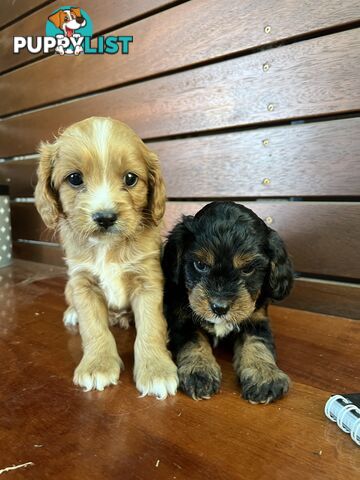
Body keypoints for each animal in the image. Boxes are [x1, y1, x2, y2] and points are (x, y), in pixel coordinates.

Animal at [35, 116, 179, 398]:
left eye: (131, 178)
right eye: (75, 178)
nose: (105, 217)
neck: (107, 247)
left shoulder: (148, 281)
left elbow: (151, 327)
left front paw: (156, 369)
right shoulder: (82, 283)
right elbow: (93, 328)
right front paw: (97, 365)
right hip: (70, 286)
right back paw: (74, 313)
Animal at [162, 201, 294, 404]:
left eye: (247, 269)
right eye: (200, 265)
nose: (219, 307)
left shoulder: (256, 319)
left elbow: (258, 343)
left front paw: (264, 376)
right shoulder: (182, 319)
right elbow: (194, 341)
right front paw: (199, 371)